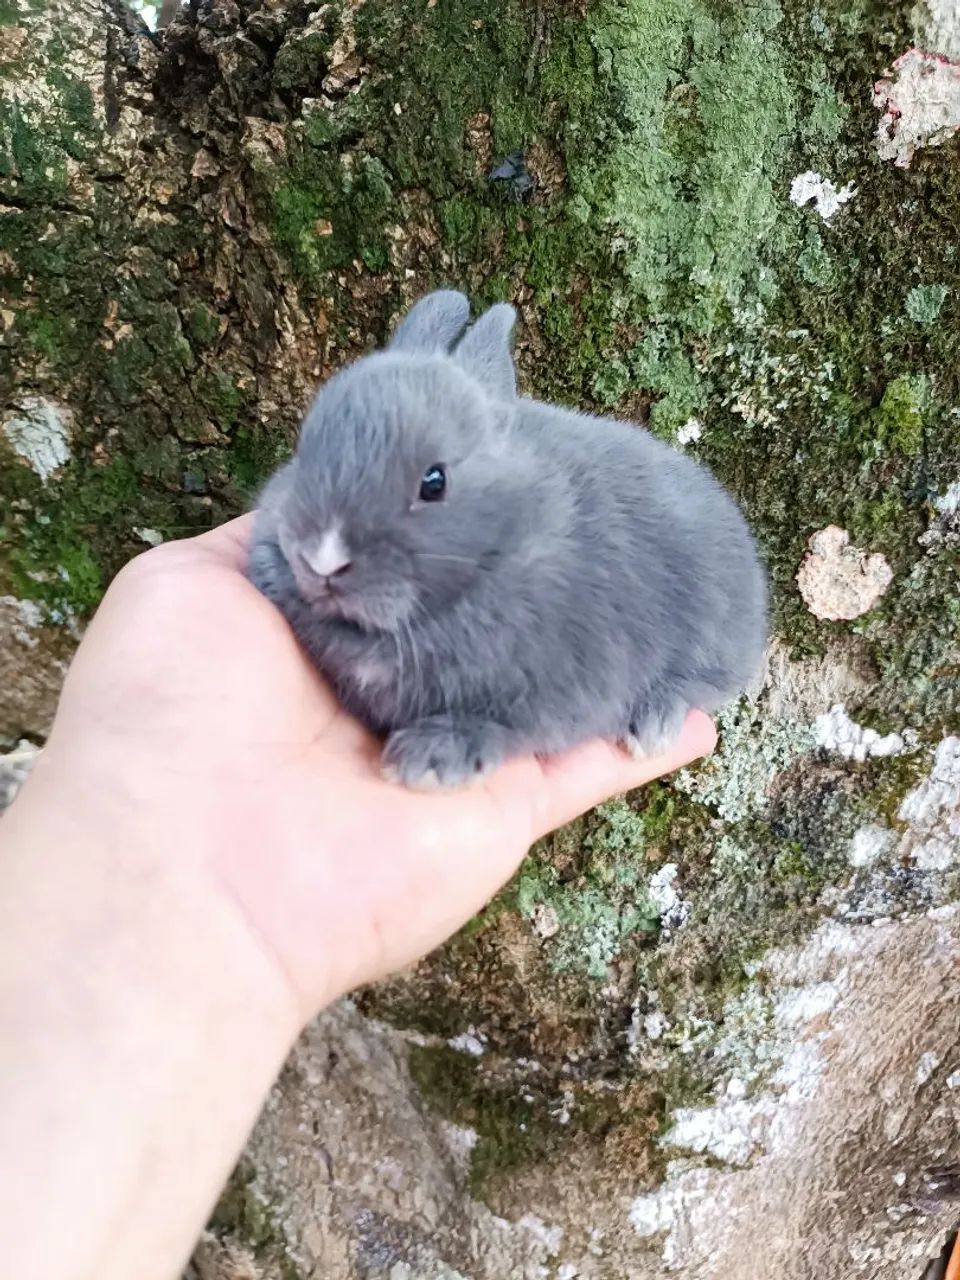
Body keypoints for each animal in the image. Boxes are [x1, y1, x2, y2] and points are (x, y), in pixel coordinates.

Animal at [247, 289, 768, 789]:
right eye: (305, 447)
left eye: (434, 482)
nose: (321, 559)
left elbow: (507, 727)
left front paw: (431, 761)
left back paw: (654, 726)